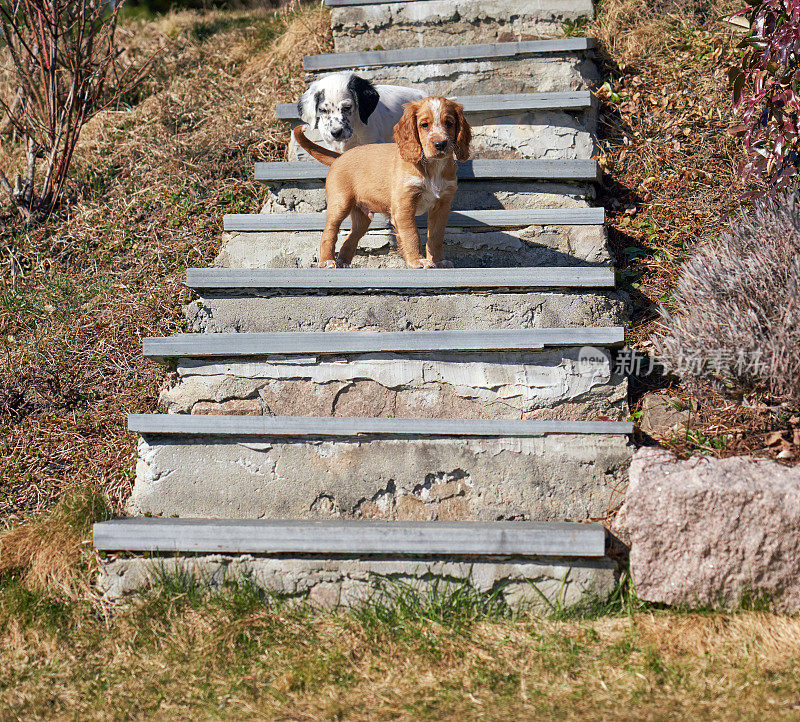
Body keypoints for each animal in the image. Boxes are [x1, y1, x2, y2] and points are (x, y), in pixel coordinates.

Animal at [292, 94, 468, 266]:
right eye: (424, 125)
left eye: (449, 123)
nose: (441, 144)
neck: (432, 166)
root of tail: (340, 156)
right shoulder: (404, 206)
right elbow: (411, 234)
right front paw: (417, 261)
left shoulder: (442, 206)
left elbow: (436, 238)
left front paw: (438, 261)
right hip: (340, 203)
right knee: (329, 232)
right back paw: (327, 261)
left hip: (362, 218)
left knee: (350, 238)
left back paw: (343, 262)